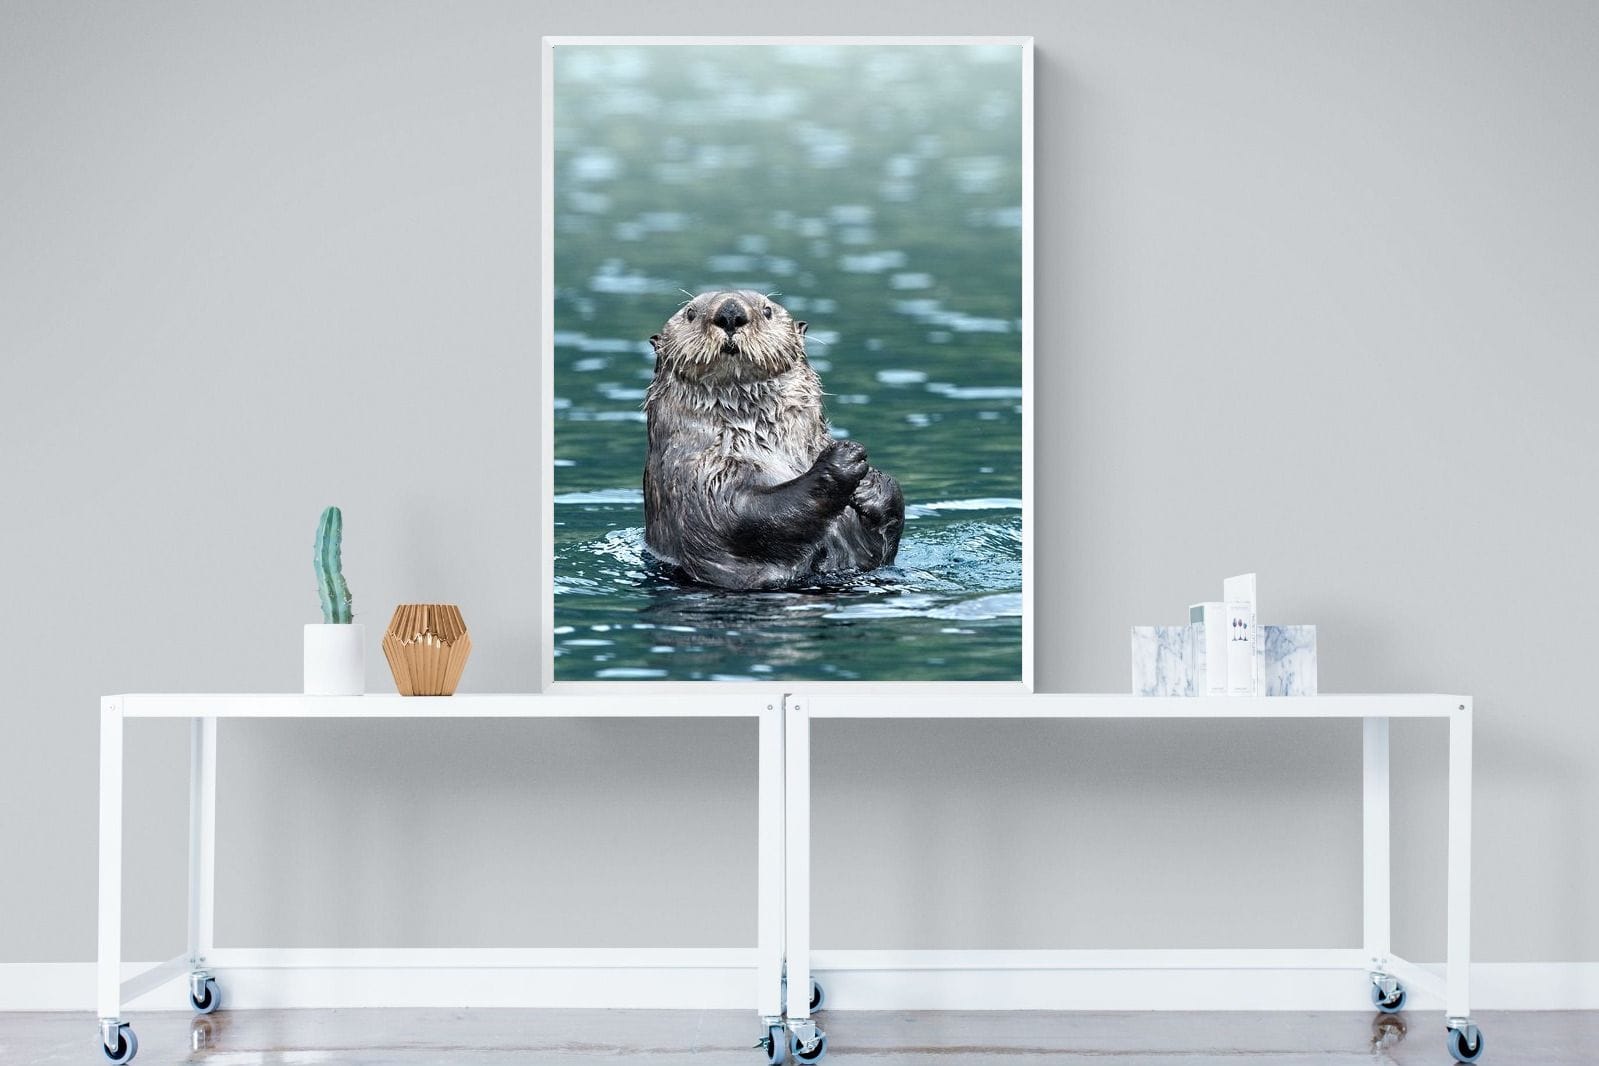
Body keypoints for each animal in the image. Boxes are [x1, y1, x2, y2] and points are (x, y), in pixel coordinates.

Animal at [643, 290, 905, 590]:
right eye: (690, 313)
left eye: (767, 310)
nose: (730, 313)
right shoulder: (696, 477)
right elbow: (742, 515)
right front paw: (843, 458)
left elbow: (880, 549)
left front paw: (872, 484)